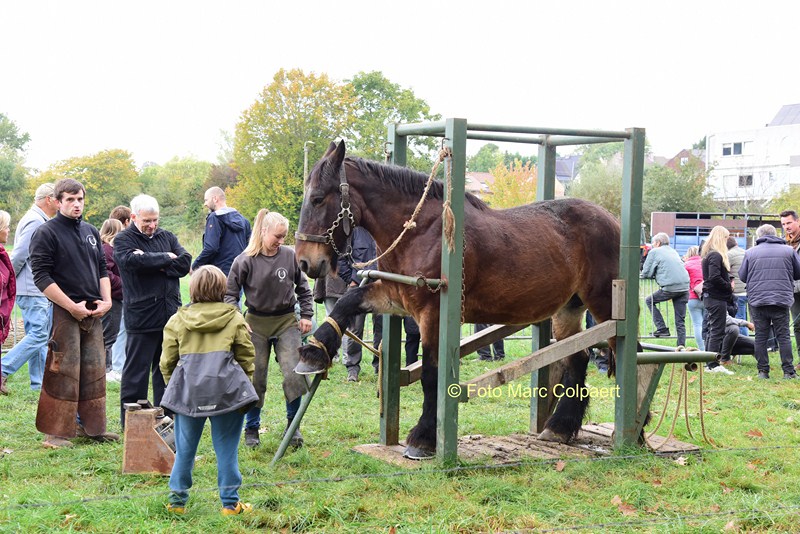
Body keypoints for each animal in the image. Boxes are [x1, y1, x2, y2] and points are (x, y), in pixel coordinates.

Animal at [294, 140, 633, 459]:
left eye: (318, 198)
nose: (304, 262)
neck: (422, 232)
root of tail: (614, 222)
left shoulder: (432, 314)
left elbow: (431, 373)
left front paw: (423, 438)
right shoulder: (395, 298)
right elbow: (347, 301)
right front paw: (315, 351)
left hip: (605, 306)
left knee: (622, 351)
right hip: (568, 309)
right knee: (577, 357)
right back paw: (560, 427)